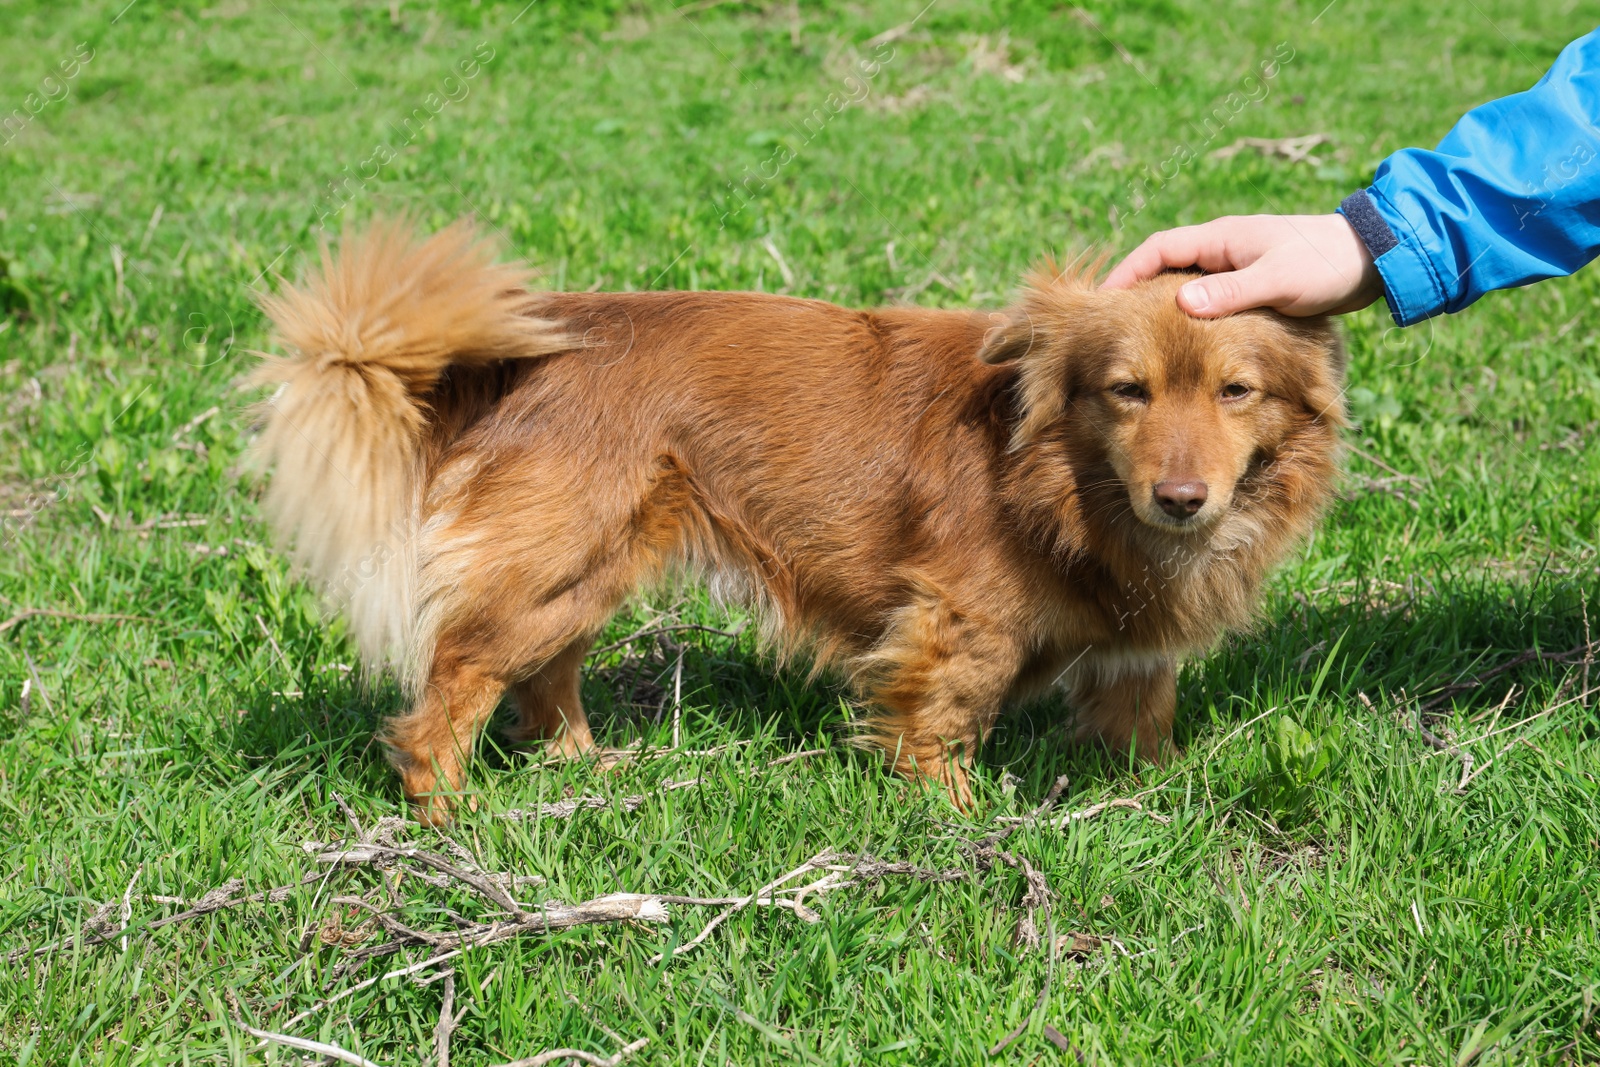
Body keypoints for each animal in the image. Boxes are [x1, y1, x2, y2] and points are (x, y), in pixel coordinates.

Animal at [249, 214, 1344, 819]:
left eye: (1236, 392)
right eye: (1126, 391)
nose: (1182, 498)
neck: (1068, 484)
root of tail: (533, 348)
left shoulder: (1133, 649)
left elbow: (1140, 716)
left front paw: (1153, 795)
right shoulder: (956, 621)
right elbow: (942, 722)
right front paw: (953, 822)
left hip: (590, 566)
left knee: (542, 673)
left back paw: (583, 763)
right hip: (556, 562)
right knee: (457, 680)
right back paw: (451, 815)